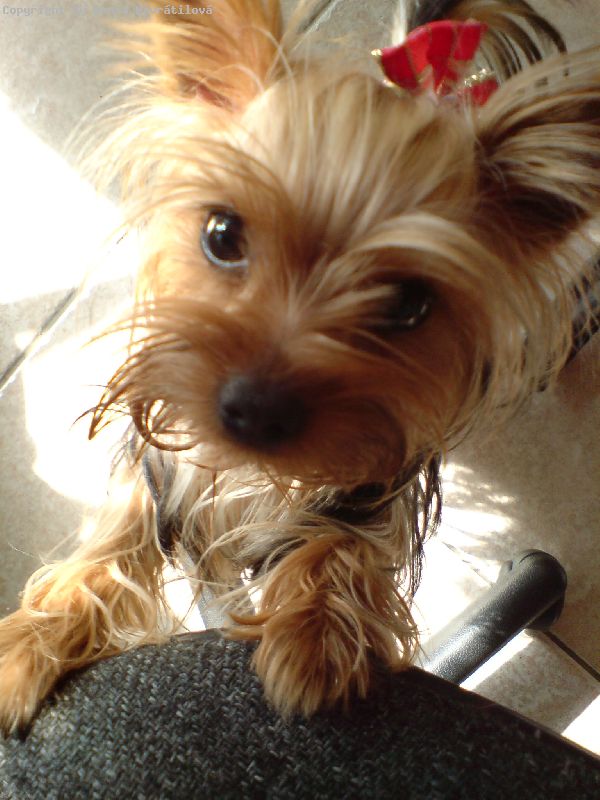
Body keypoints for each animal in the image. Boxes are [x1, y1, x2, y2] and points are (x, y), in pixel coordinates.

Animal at [1, 0, 599, 734]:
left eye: (407, 303)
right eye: (222, 233)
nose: (253, 414)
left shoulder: (381, 480)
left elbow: (346, 539)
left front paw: (315, 637)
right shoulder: (162, 448)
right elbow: (120, 531)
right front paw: (37, 639)